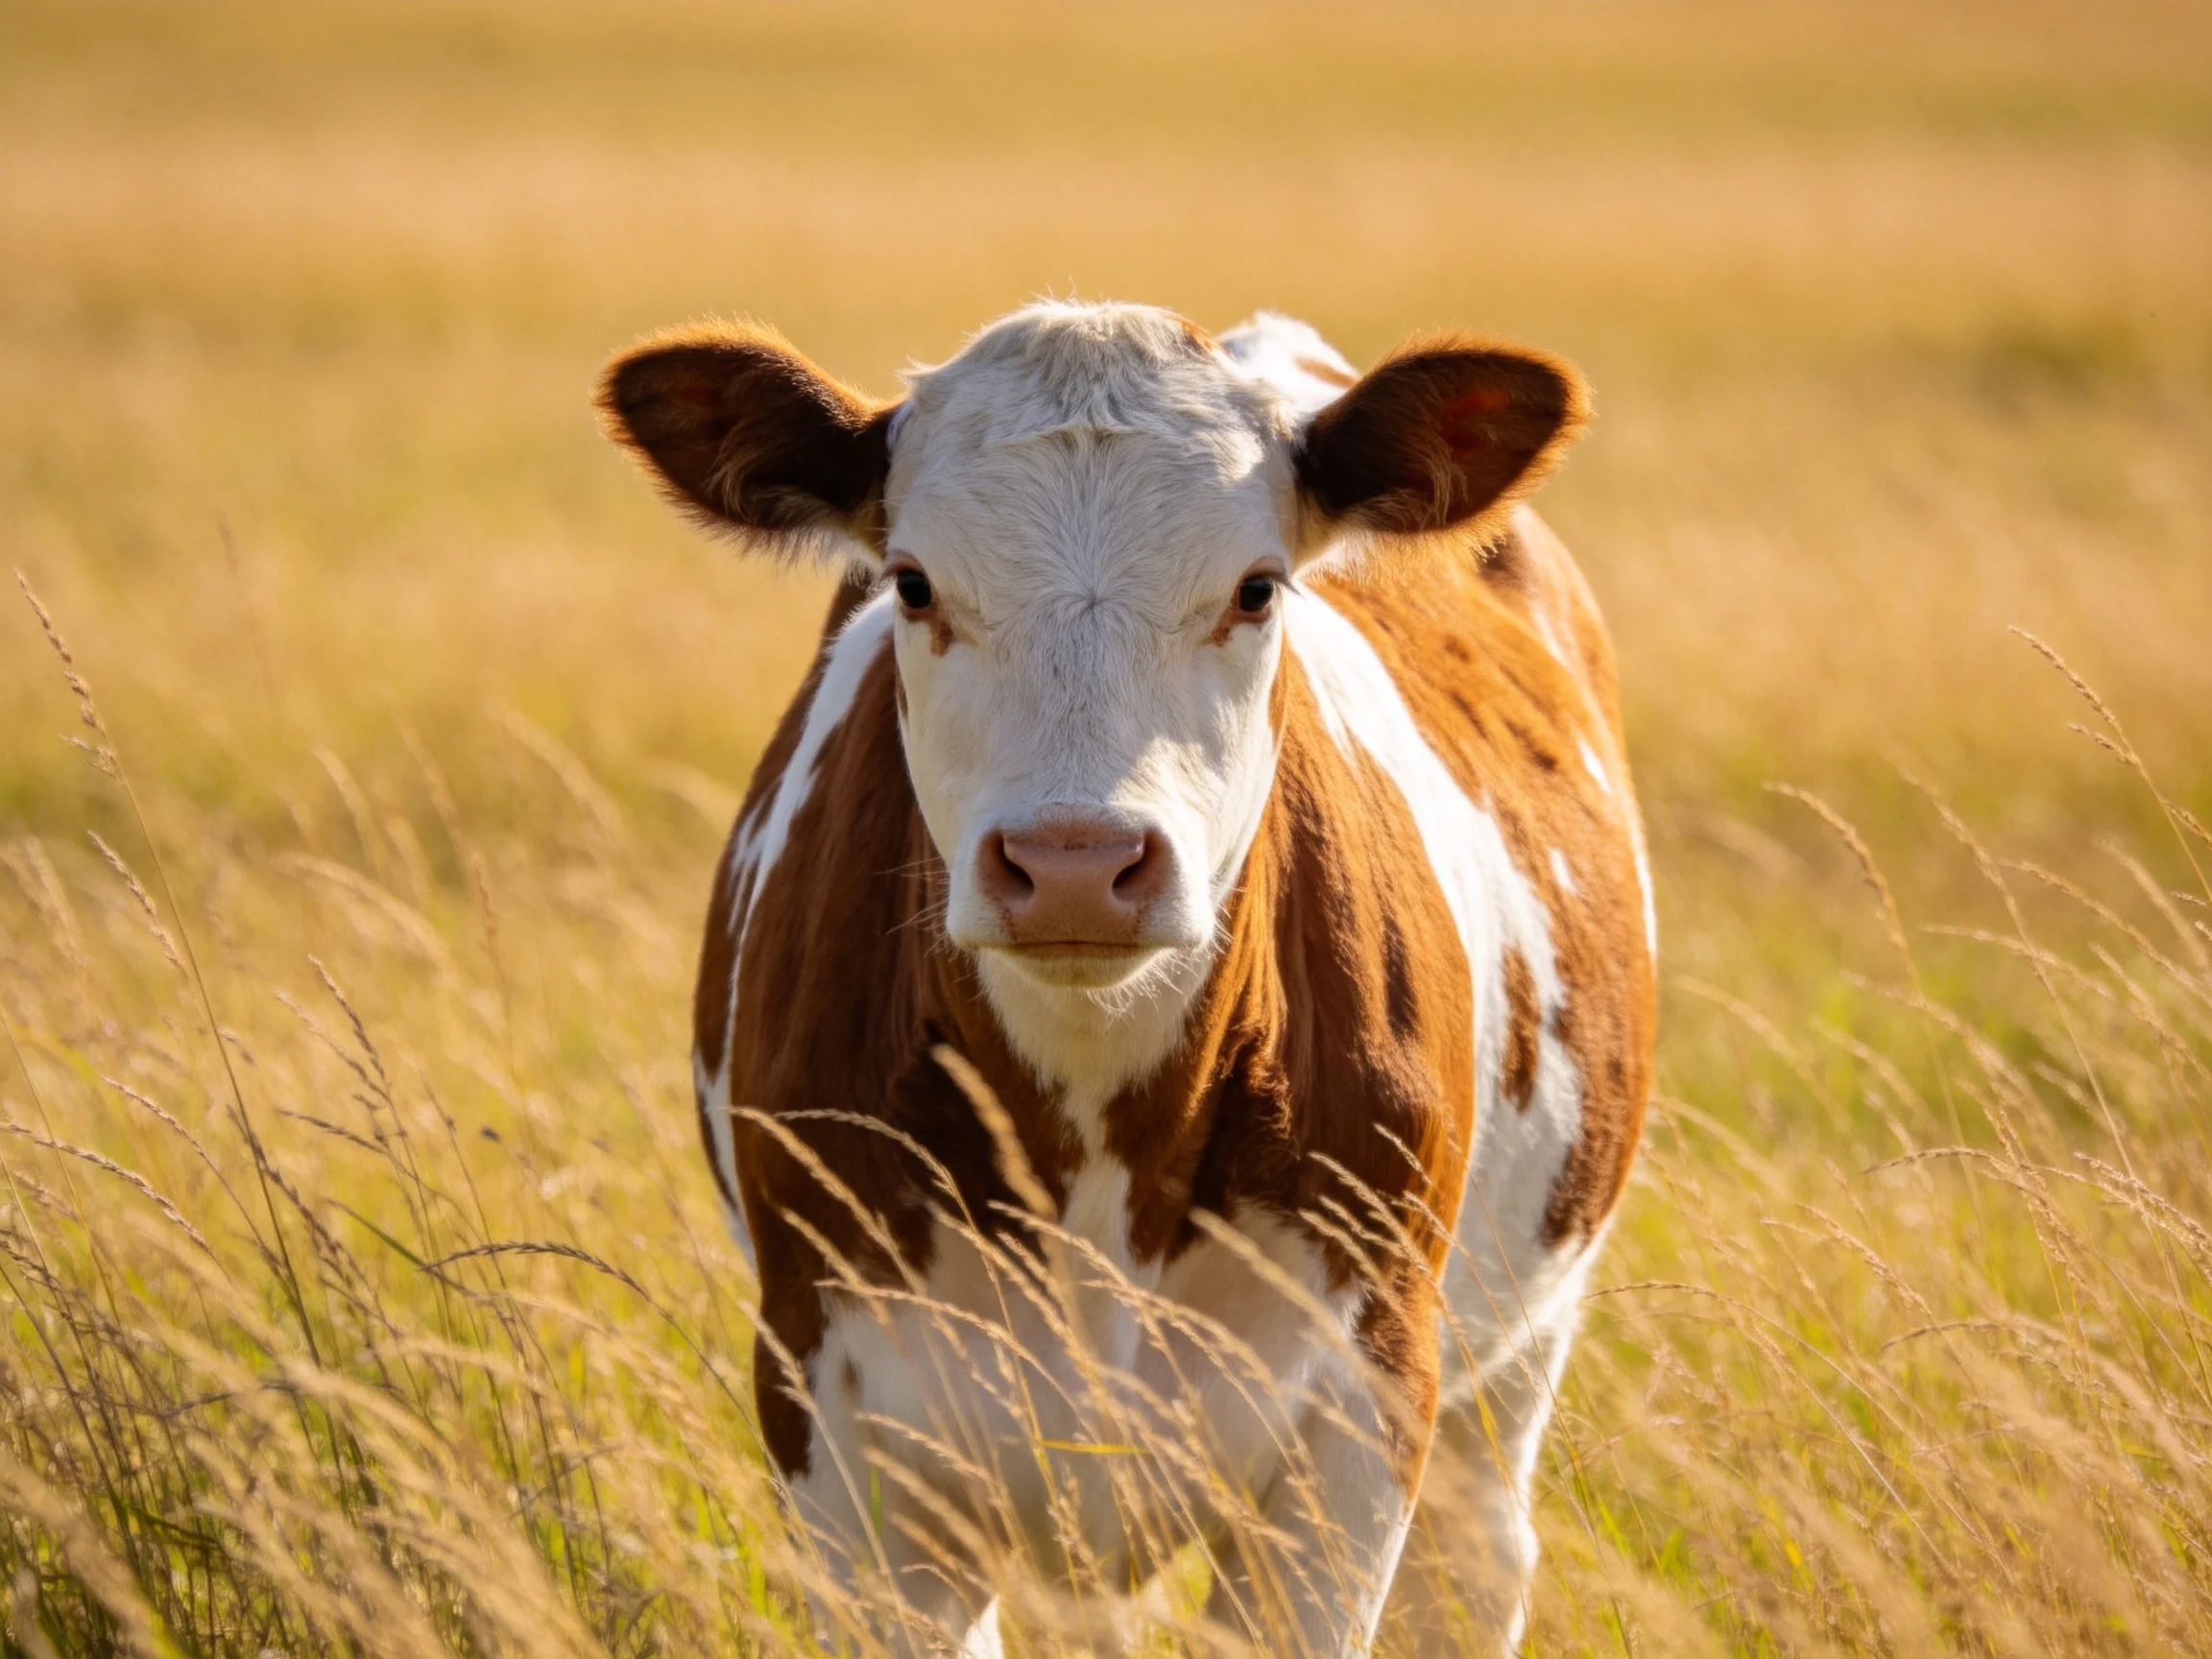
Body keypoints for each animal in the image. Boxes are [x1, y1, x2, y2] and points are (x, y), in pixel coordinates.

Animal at [597, 301, 1654, 1657]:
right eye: (913, 582)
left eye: (1258, 588)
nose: (1075, 865)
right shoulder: (836, 1420)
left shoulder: (1360, 1415)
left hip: (1515, 1351)